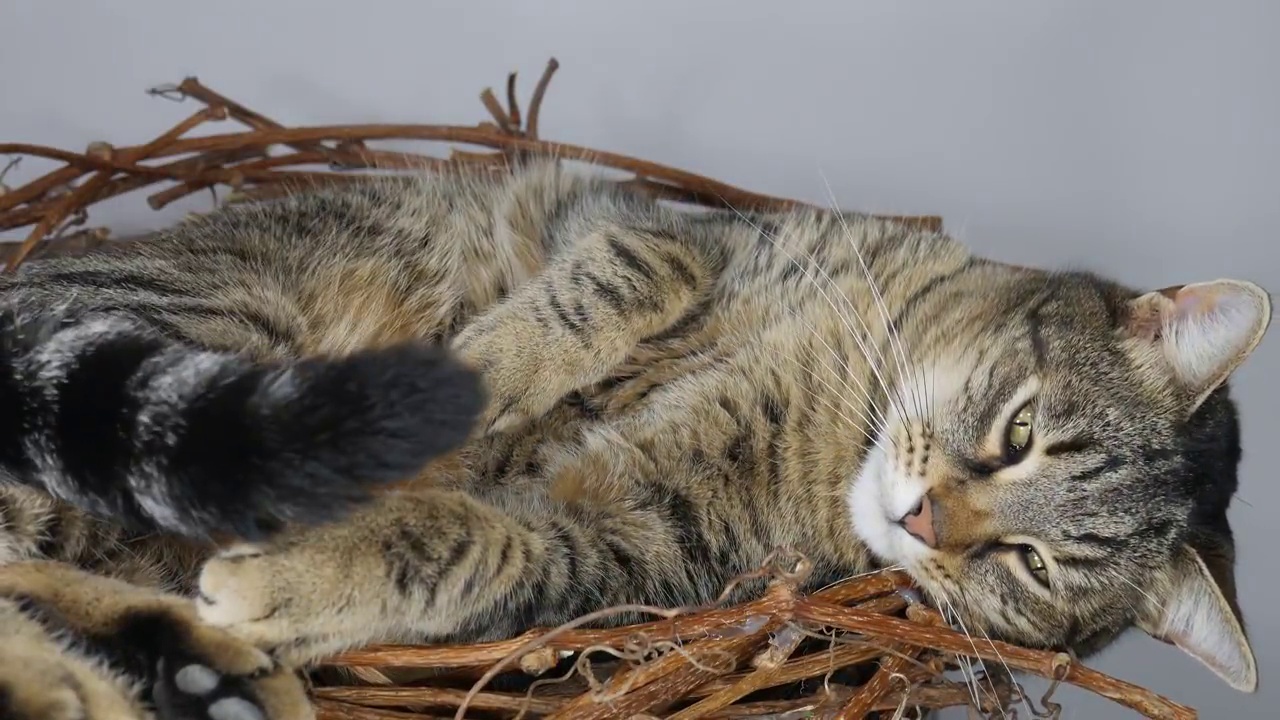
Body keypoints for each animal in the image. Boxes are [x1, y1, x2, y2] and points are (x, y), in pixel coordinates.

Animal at [0, 159, 1264, 712]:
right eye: (1018, 431)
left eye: (1029, 566)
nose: (920, 518)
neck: (838, 408)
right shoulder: (662, 233)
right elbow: (622, 279)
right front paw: (474, 386)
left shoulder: (638, 557)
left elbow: (479, 542)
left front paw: (308, 574)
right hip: (212, 324)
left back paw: (155, 672)